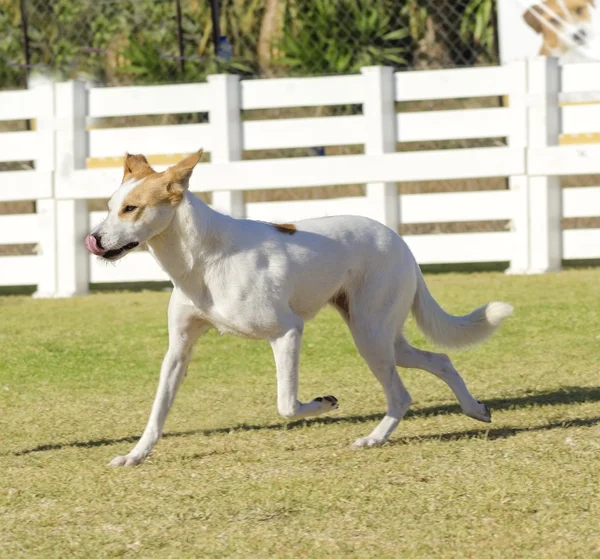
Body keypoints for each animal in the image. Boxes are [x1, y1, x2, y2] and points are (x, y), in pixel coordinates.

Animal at [86, 151, 512, 466]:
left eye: (131, 208)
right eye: (109, 206)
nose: (94, 239)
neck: (203, 259)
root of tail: (399, 240)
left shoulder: (287, 332)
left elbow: (287, 404)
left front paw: (324, 404)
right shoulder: (179, 349)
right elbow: (158, 411)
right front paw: (134, 455)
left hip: (370, 335)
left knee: (401, 394)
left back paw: (373, 439)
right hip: (383, 337)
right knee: (440, 360)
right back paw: (474, 410)